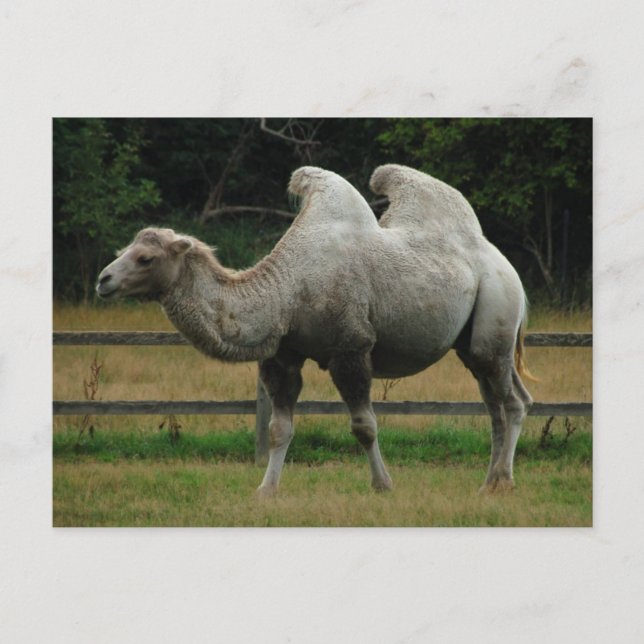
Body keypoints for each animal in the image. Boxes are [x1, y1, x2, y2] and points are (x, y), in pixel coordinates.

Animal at [96, 164, 533, 497]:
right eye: (124, 250)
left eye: (145, 257)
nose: (103, 280)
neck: (287, 292)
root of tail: (501, 260)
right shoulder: (282, 356)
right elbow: (278, 428)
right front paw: (266, 491)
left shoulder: (351, 350)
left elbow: (364, 426)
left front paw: (383, 485)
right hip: (471, 345)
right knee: (494, 402)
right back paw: (488, 483)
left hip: (496, 311)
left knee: (511, 402)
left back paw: (505, 482)